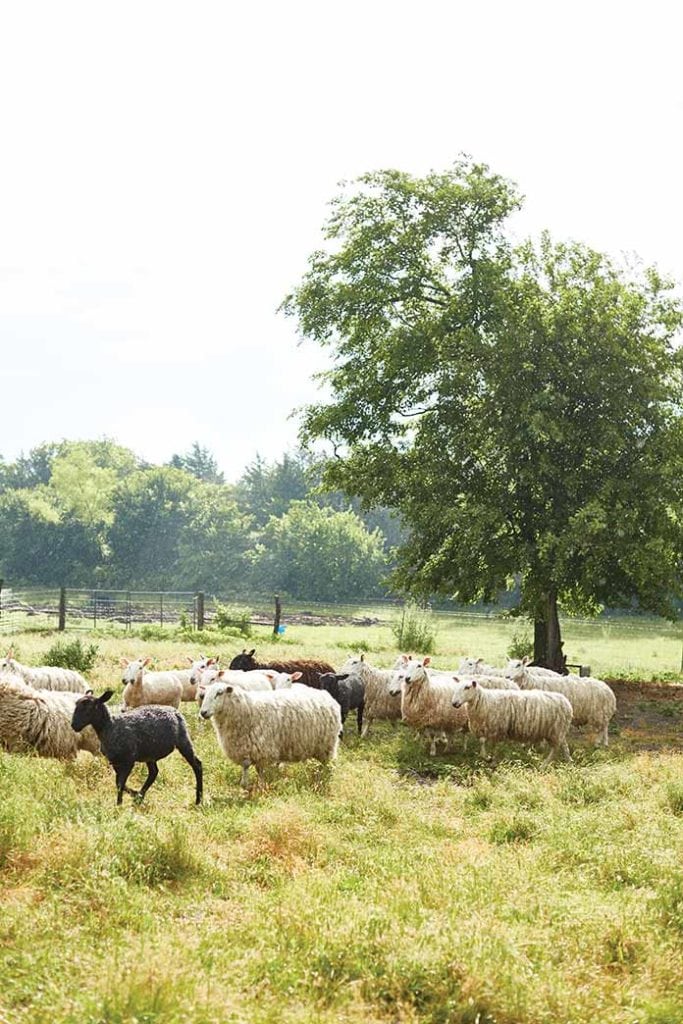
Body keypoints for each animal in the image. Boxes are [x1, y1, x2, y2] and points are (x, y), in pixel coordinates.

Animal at [71, 692, 202, 802]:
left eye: (89, 708)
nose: (74, 725)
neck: (109, 727)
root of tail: (174, 711)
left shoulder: (128, 761)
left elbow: (120, 784)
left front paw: (119, 805)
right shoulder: (115, 762)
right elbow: (119, 783)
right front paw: (132, 794)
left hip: (183, 740)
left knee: (197, 765)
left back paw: (198, 799)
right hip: (150, 752)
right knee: (153, 772)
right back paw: (140, 796)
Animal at [201, 679, 342, 790]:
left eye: (219, 693)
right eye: (204, 695)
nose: (203, 712)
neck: (247, 709)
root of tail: (327, 695)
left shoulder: (262, 749)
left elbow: (259, 770)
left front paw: (261, 784)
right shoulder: (245, 747)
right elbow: (245, 765)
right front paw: (245, 784)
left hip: (327, 745)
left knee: (327, 765)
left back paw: (323, 778)